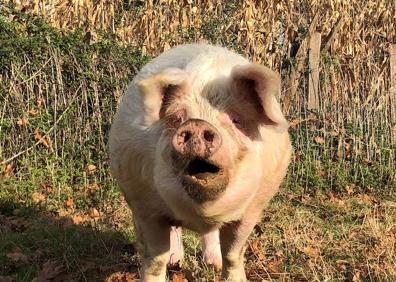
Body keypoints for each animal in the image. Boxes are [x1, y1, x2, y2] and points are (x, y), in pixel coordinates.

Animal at [110, 43, 292, 280]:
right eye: (177, 118)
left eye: (235, 119)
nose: (197, 124)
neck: (202, 214)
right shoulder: (146, 206)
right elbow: (155, 258)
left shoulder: (253, 207)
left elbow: (234, 253)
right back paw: (175, 261)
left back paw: (212, 263)